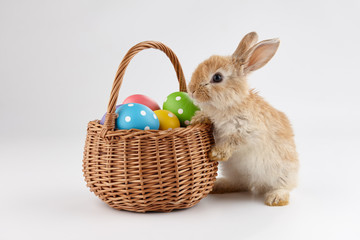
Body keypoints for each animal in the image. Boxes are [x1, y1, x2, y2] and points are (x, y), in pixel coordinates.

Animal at [188, 31, 298, 205]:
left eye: (217, 77)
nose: (191, 90)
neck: (231, 103)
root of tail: (258, 184)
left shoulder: (248, 131)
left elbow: (234, 141)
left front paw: (216, 153)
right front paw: (198, 118)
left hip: (282, 173)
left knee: (284, 187)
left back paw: (275, 198)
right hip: (236, 172)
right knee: (241, 184)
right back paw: (218, 186)